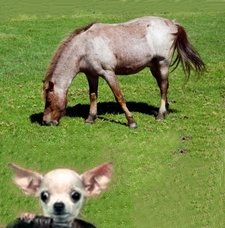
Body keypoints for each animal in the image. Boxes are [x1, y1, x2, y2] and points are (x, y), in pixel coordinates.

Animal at [41, 16, 205, 128]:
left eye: (48, 100)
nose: (46, 121)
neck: (85, 46)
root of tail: (172, 24)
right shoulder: (92, 75)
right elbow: (93, 96)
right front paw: (90, 118)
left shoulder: (108, 73)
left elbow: (119, 97)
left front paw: (131, 121)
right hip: (154, 67)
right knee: (162, 87)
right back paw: (165, 111)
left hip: (162, 64)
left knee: (164, 87)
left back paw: (160, 115)